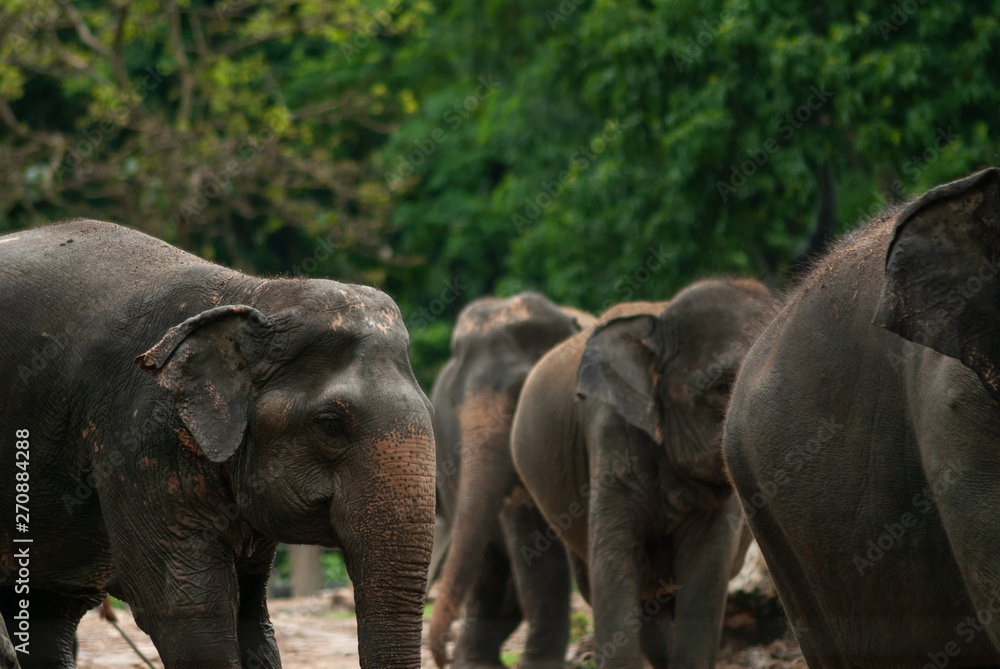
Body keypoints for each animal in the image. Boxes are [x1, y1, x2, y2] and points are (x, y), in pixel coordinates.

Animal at [428, 293, 594, 668]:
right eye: (453, 399)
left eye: (522, 391)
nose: (441, 657)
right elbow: (528, 530)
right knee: (487, 563)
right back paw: (474, 660)